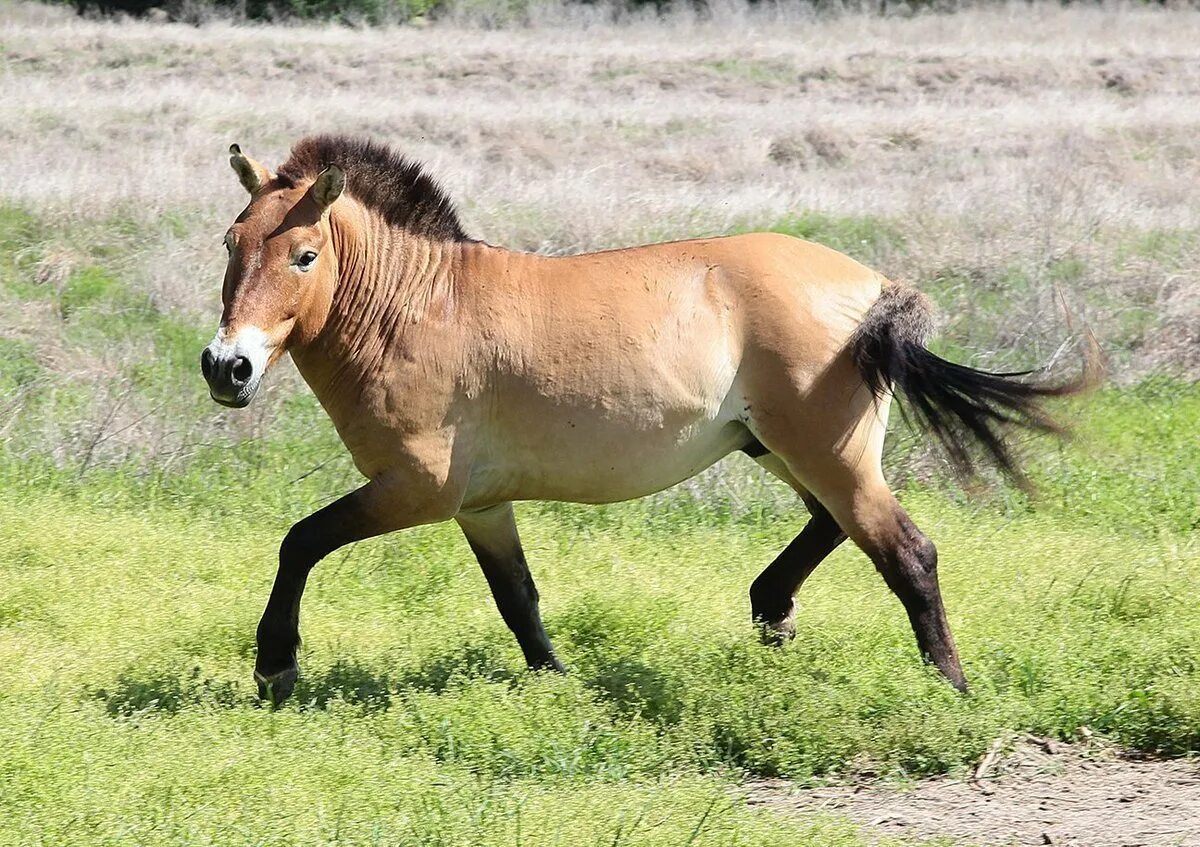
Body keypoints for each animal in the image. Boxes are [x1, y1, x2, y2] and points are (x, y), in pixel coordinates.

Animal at [204, 136, 1089, 705]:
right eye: (231, 243)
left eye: (304, 256)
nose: (226, 367)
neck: (418, 307)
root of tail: (875, 288)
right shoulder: (481, 505)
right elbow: (518, 598)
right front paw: (560, 687)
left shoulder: (417, 489)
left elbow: (300, 540)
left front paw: (275, 665)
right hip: (779, 447)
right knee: (829, 525)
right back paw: (772, 609)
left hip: (825, 452)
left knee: (907, 551)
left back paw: (951, 689)